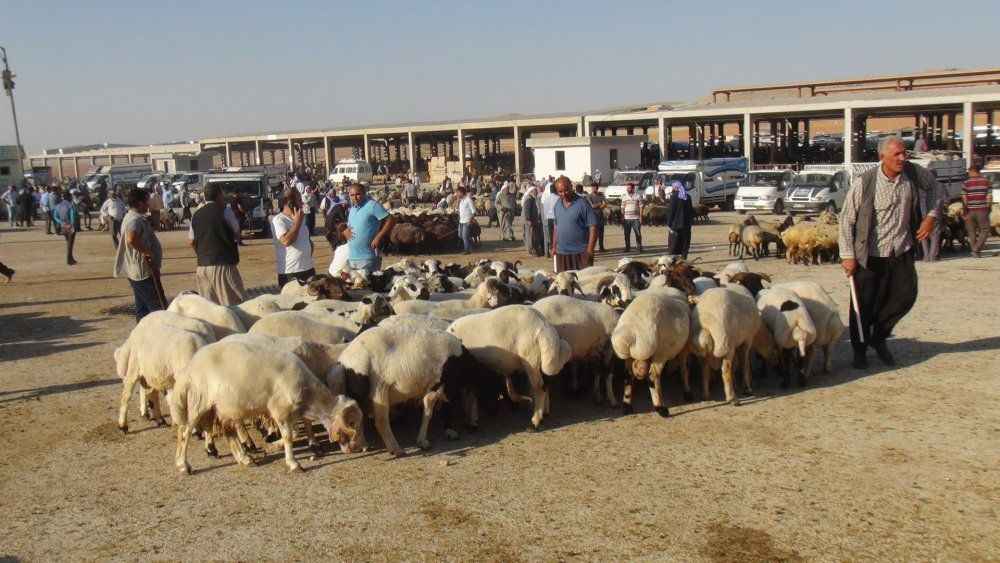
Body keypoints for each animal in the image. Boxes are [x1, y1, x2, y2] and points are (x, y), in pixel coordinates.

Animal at [170, 340, 366, 476]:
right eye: (352, 423)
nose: (361, 448)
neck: (308, 394)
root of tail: (189, 369)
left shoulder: (287, 412)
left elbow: (294, 433)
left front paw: (272, 447)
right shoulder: (280, 410)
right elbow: (289, 436)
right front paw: (293, 463)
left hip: (224, 408)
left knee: (229, 433)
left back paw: (244, 458)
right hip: (199, 402)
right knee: (185, 432)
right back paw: (183, 465)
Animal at [334, 328, 478, 456]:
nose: (473, 426)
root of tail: (344, 361)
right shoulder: (438, 384)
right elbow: (431, 409)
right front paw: (427, 440)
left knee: (356, 416)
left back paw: (360, 445)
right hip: (376, 387)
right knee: (379, 421)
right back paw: (395, 450)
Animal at [446, 304, 572, 432]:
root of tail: (544, 326)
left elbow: (470, 396)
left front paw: (472, 422)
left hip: (531, 360)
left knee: (539, 388)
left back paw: (535, 421)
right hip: (540, 361)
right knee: (546, 384)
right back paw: (545, 413)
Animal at [604, 288, 692, 416]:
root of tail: (628, 334)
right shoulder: (684, 347)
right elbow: (684, 369)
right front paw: (687, 392)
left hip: (631, 357)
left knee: (628, 376)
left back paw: (627, 405)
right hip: (660, 353)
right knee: (652, 376)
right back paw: (660, 408)